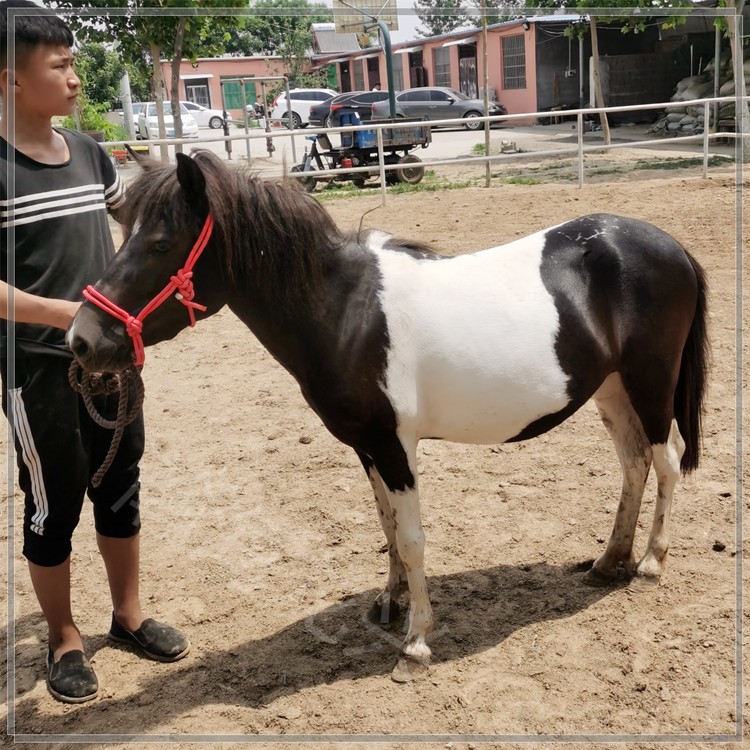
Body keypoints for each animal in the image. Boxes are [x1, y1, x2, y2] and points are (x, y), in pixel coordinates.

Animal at [67, 150, 709, 667]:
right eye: (124, 233)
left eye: (160, 244)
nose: (80, 339)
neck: (344, 312)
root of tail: (672, 246)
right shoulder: (367, 446)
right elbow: (387, 527)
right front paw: (390, 602)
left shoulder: (396, 446)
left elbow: (414, 536)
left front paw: (417, 640)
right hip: (612, 390)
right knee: (634, 465)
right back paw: (609, 561)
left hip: (650, 385)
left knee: (667, 462)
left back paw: (650, 564)